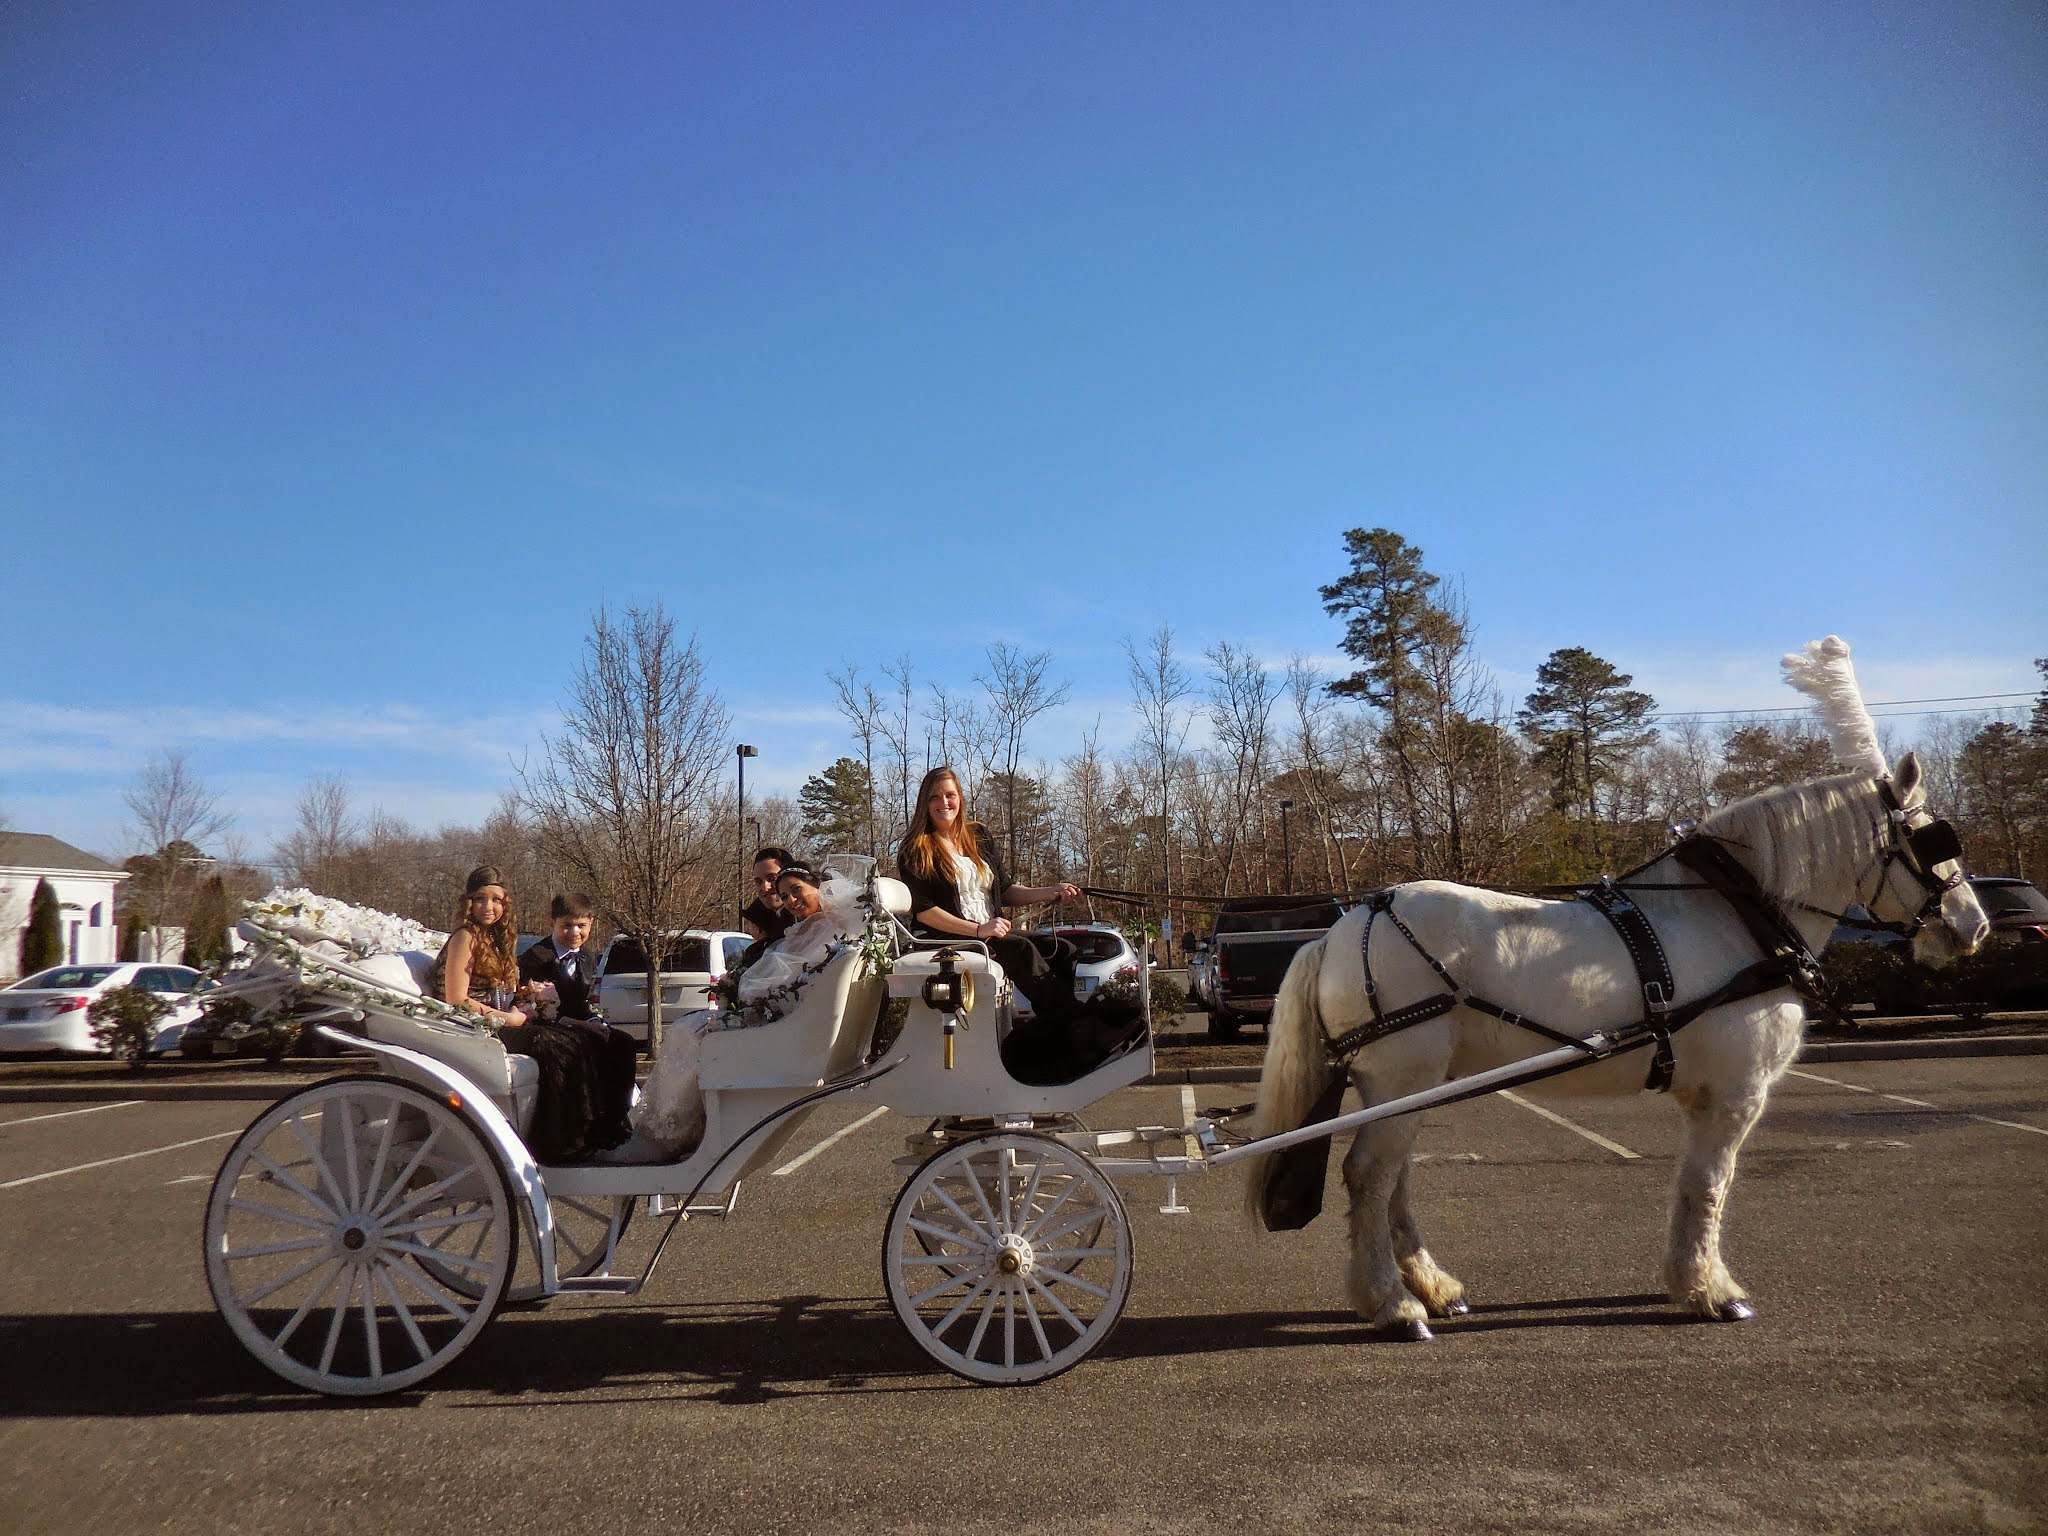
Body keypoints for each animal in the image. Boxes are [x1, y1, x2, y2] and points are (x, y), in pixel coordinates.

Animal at [1240, 751, 1989, 1337]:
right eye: (1931, 839)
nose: (1972, 925)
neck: (1732, 917)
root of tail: (1345, 926)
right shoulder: (1735, 1093)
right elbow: (1710, 1186)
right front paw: (1710, 1292)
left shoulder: (1705, 1095)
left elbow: (1695, 1186)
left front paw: (1692, 1280)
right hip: (1402, 1079)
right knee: (1369, 1177)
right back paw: (1393, 1306)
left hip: (1409, 1088)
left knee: (1395, 1182)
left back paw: (1435, 1289)